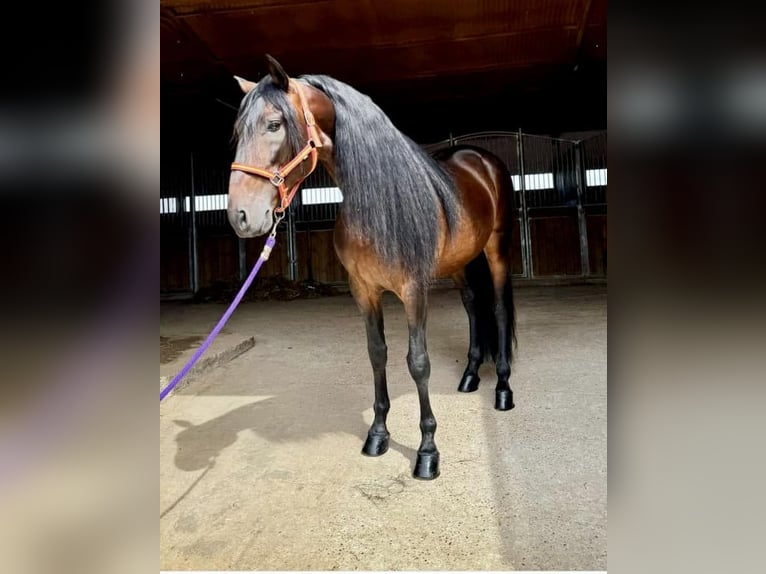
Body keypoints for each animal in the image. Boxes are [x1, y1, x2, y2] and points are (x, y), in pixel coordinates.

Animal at [228, 57, 516, 482]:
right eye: (238, 131)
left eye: (274, 124)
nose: (240, 216)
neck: (379, 200)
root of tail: (480, 158)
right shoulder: (363, 290)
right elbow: (377, 353)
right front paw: (378, 434)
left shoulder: (414, 290)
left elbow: (418, 362)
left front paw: (427, 451)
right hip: (460, 262)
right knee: (471, 306)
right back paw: (469, 376)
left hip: (495, 251)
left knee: (496, 308)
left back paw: (503, 389)